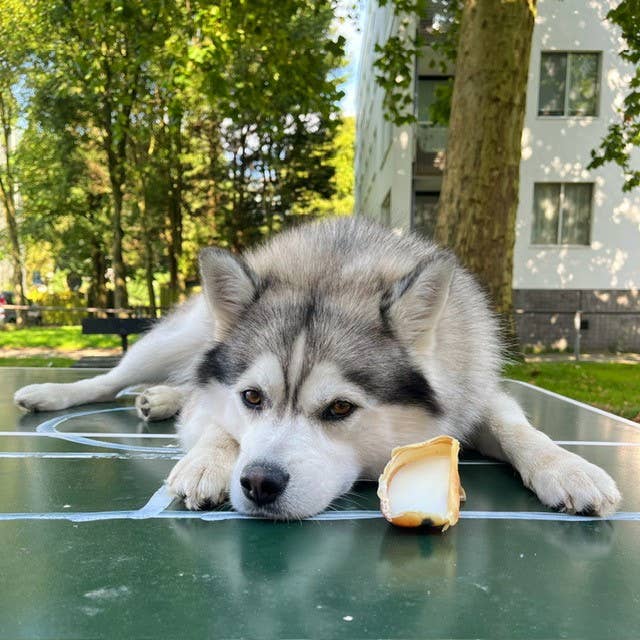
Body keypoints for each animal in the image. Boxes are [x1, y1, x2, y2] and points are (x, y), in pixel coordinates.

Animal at [16, 220, 620, 520]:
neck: (335, 268)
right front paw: (207, 461)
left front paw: (568, 468)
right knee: (115, 378)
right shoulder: (218, 394)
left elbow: (519, 429)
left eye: (339, 408)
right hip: (176, 340)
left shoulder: (476, 391)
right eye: (253, 398)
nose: (258, 483)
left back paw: (158, 398)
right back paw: (52, 392)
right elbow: (215, 425)